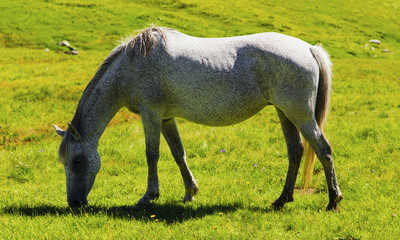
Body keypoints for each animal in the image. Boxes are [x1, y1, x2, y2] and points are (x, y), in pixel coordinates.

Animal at [53, 26, 342, 210]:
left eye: (77, 160)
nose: (74, 203)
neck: (134, 65)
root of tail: (309, 48)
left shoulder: (151, 114)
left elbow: (152, 154)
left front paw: (149, 196)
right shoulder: (167, 118)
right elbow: (178, 153)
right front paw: (190, 192)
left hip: (300, 115)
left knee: (323, 149)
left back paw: (333, 201)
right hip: (285, 113)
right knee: (296, 151)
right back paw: (282, 200)